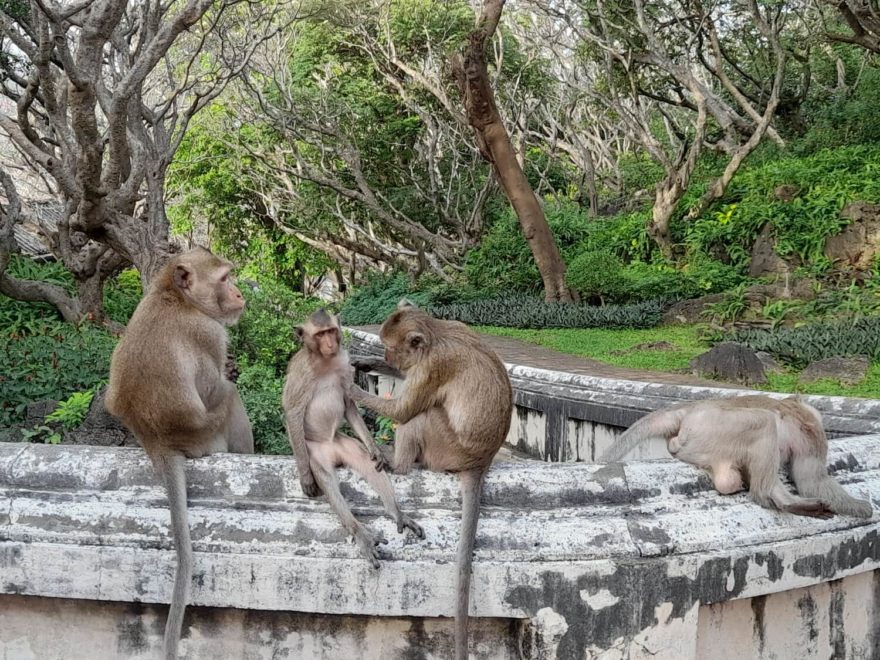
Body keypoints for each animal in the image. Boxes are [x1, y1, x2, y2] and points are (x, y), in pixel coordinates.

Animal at [105, 249, 254, 660]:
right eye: (224, 279)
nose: (238, 294)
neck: (175, 297)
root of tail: (158, 442)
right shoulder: (209, 332)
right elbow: (216, 387)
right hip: (208, 436)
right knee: (229, 397)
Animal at [280, 310, 422, 568]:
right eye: (320, 334)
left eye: (330, 331)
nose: (329, 344)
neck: (324, 361)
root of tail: (331, 448)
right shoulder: (300, 371)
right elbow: (293, 412)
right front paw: (305, 477)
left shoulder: (345, 362)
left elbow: (348, 403)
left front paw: (374, 448)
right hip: (313, 451)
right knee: (326, 478)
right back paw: (361, 533)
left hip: (342, 444)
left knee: (367, 463)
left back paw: (396, 512)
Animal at [350, 302, 512, 656]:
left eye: (392, 345)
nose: (386, 354)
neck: (435, 335)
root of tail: (481, 462)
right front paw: (365, 362)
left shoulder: (433, 368)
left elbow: (401, 411)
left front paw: (350, 388)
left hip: (447, 449)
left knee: (423, 415)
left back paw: (397, 464)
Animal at [600, 394, 868, 520]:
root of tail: (689, 411)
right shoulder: (811, 436)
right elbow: (811, 479)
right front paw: (864, 508)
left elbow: (810, 481)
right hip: (713, 426)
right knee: (764, 421)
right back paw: (774, 499)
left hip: (704, 444)